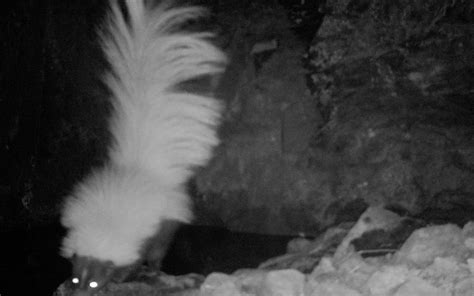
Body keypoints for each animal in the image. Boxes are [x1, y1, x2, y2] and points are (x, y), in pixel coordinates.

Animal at [58, 0, 226, 294]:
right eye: (78, 278)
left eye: (94, 281)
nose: (80, 290)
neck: (106, 224)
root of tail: (145, 167)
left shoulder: (145, 235)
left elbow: (140, 256)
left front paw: (127, 276)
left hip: (167, 220)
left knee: (160, 249)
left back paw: (156, 269)